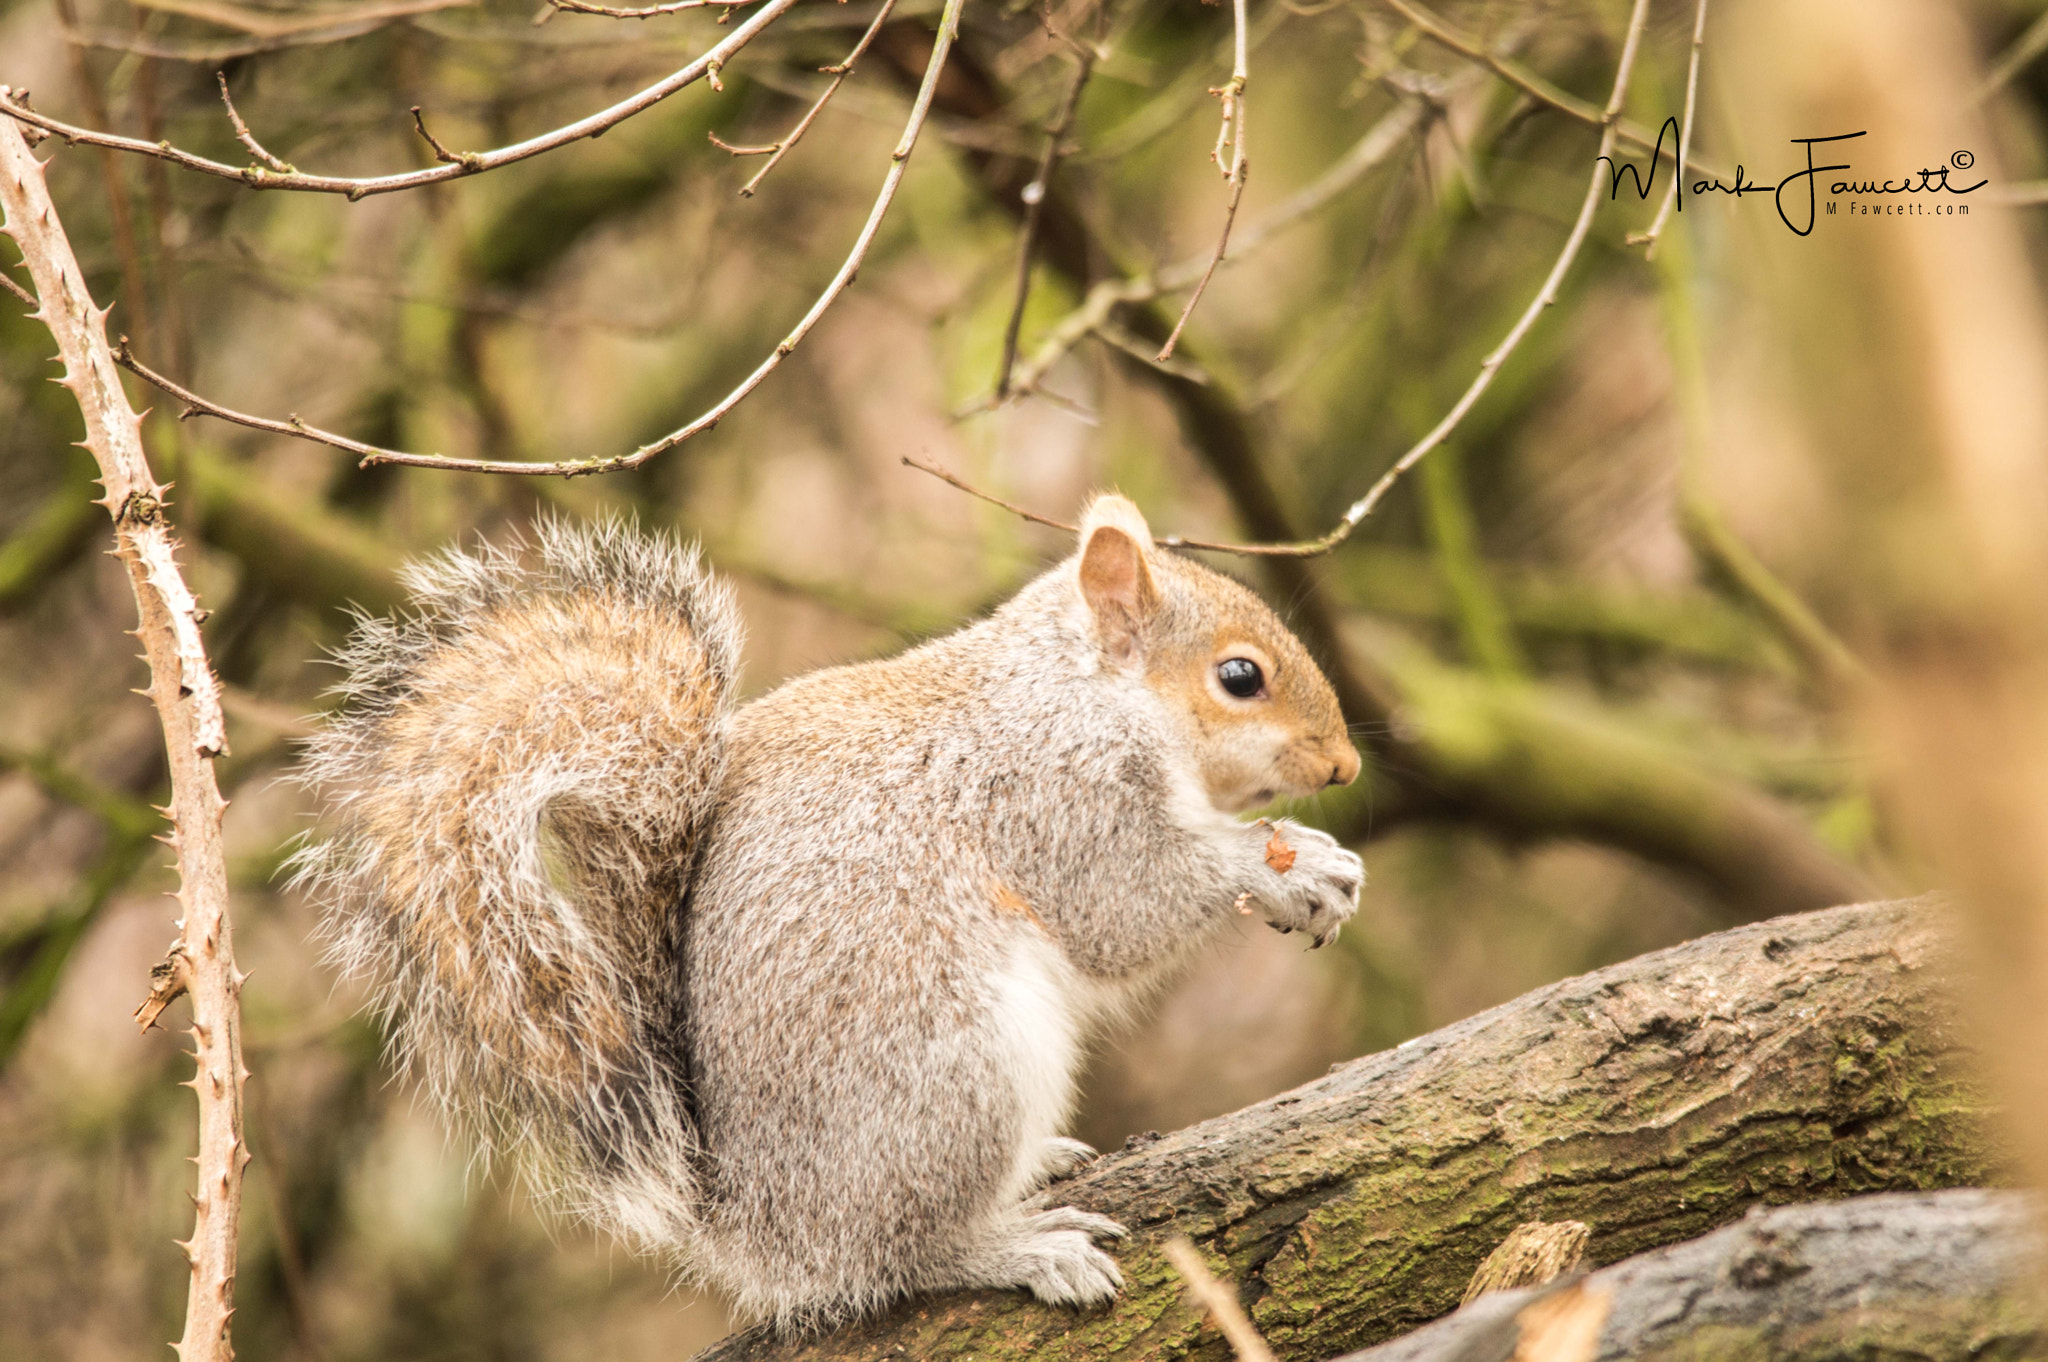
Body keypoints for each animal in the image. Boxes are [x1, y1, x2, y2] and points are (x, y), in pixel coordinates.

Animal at [292, 494, 1364, 1331]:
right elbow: (1127, 903)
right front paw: (1289, 865)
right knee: (897, 1256)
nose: (1346, 767)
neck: (1085, 692)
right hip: (957, 1067)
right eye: (1239, 677)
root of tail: (761, 1227)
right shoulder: (1054, 795)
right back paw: (1014, 1244)